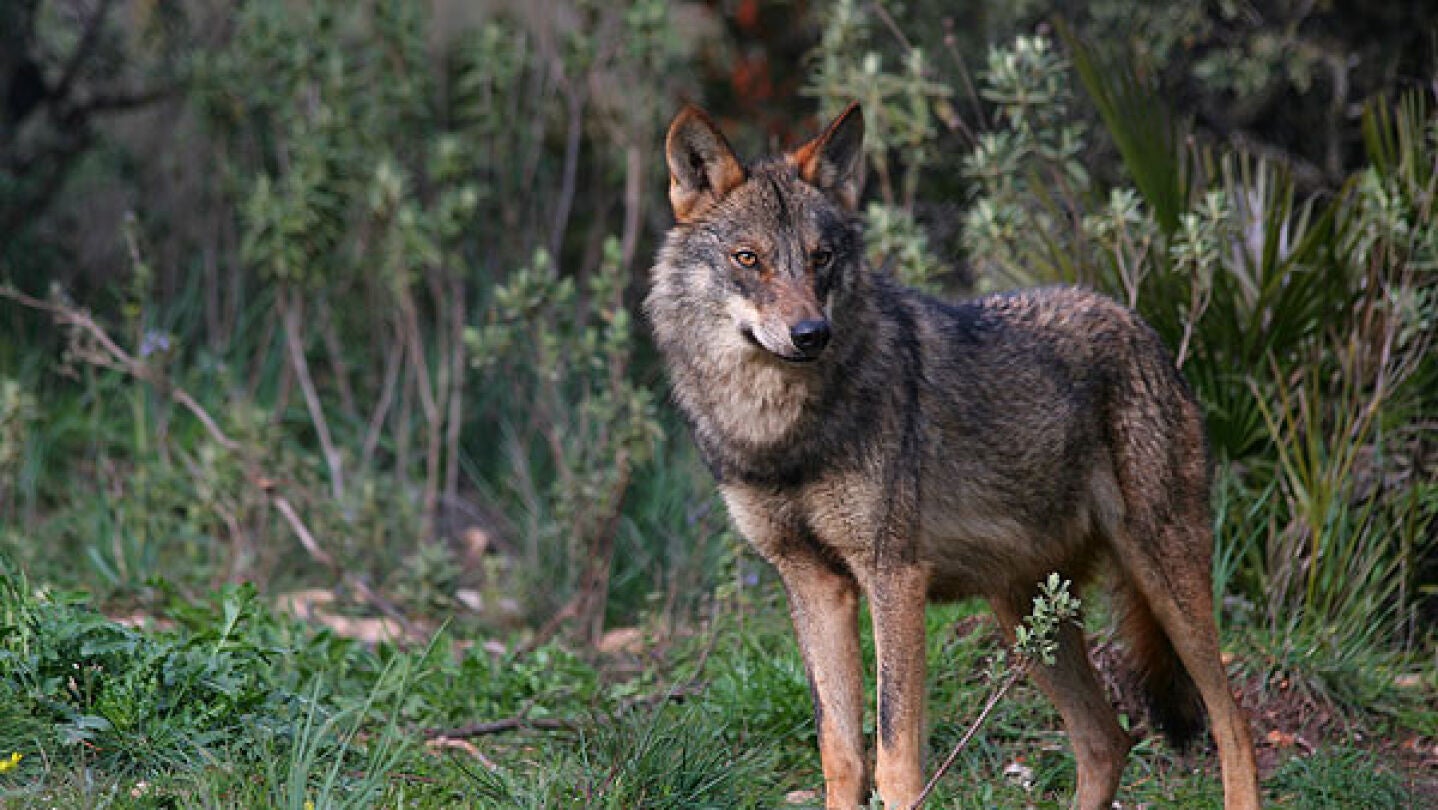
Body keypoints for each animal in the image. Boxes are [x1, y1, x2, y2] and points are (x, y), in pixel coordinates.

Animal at [644, 102, 1261, 809]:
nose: (810, 334)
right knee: (1107, 741)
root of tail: (1144, 329)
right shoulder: (814, 584)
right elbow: (841, 755)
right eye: (749, 258)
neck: (779, 433)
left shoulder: (893, 576)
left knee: (1232, 723)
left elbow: (893, 757)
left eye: (821, 257)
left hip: (1161, 576)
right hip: (1026, 613)